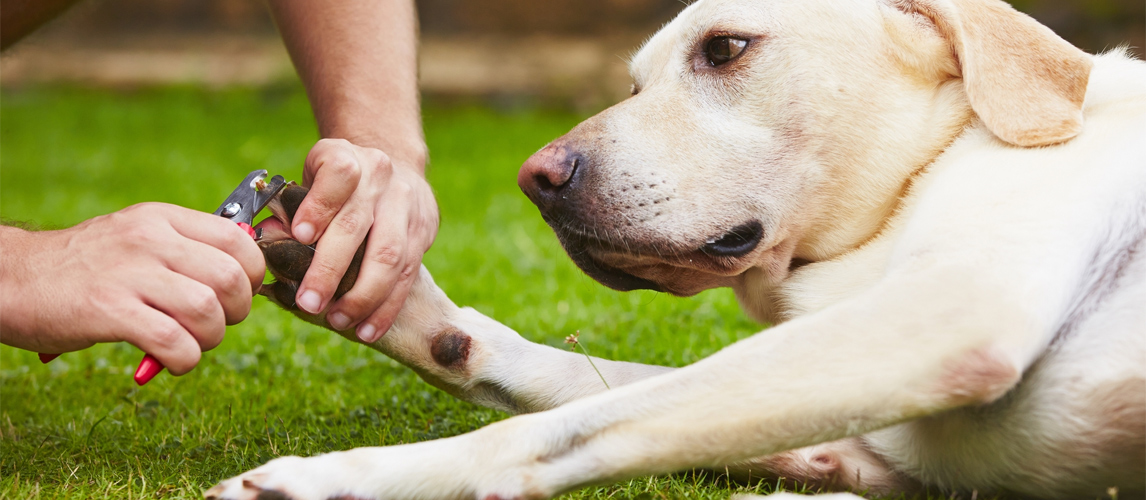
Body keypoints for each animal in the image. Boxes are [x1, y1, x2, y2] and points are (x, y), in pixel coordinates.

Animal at [208, 0, 1146, 497]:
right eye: (633, 84)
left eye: (726, 48)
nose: (536, 178)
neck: (927, 165)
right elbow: (567, 379)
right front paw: (397, 296)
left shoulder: (953, 311)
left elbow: (566, 422)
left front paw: (339, 476)